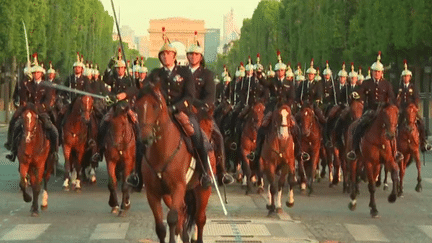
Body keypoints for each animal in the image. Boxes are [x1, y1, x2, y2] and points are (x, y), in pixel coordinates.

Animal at [136, 82, 213, 242]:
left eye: (155, 106)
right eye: (137, 106)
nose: (145, 138)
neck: (162, 151)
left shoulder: (178, 187)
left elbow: (172, 218)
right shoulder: (153, 193)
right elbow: (161, 227)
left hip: (203, 190)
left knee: (200, 219)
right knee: (182, 212)